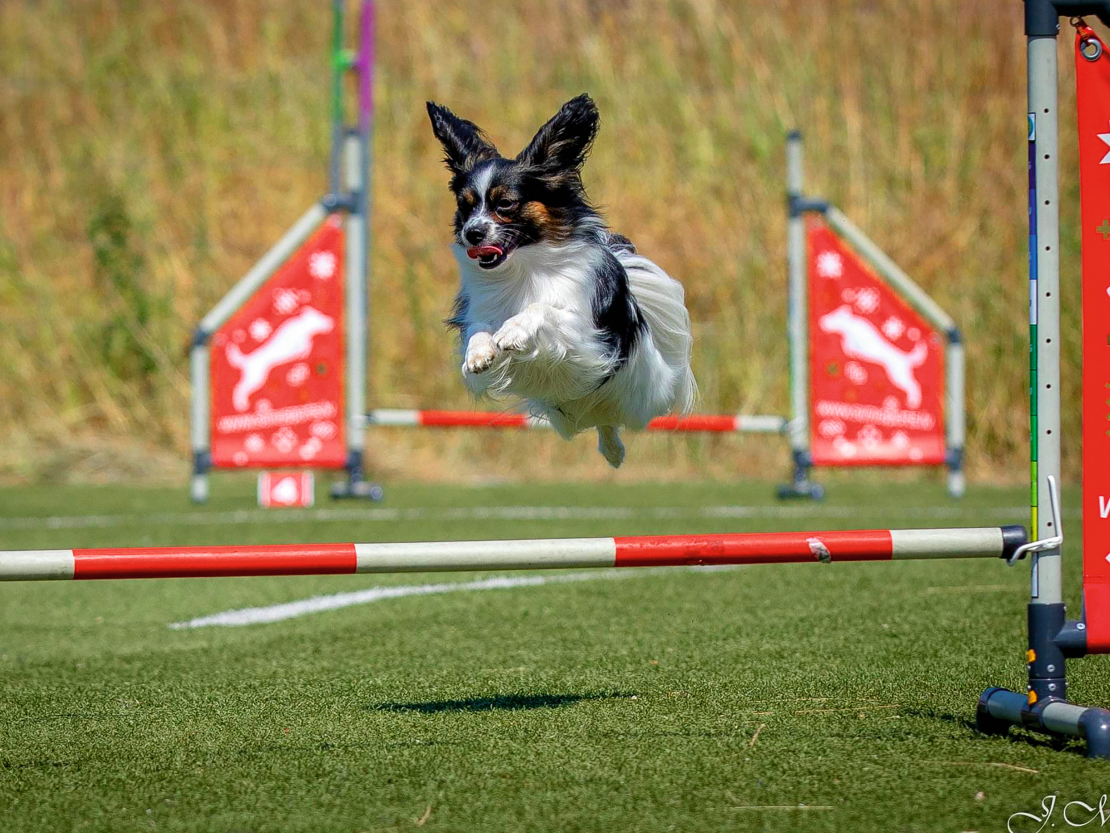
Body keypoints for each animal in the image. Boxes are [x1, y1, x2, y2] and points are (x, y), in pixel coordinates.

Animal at [424, 93, 692, 470]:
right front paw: (479, 353)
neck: (523, 266)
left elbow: (542, 309)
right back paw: (612, 450)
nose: (472, 233)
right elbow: (477, 331)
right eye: (466, 207)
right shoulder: (479, 313)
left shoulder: (584, 336)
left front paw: (513, 332)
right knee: (603, 422)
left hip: (638, 390)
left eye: (505, 204)